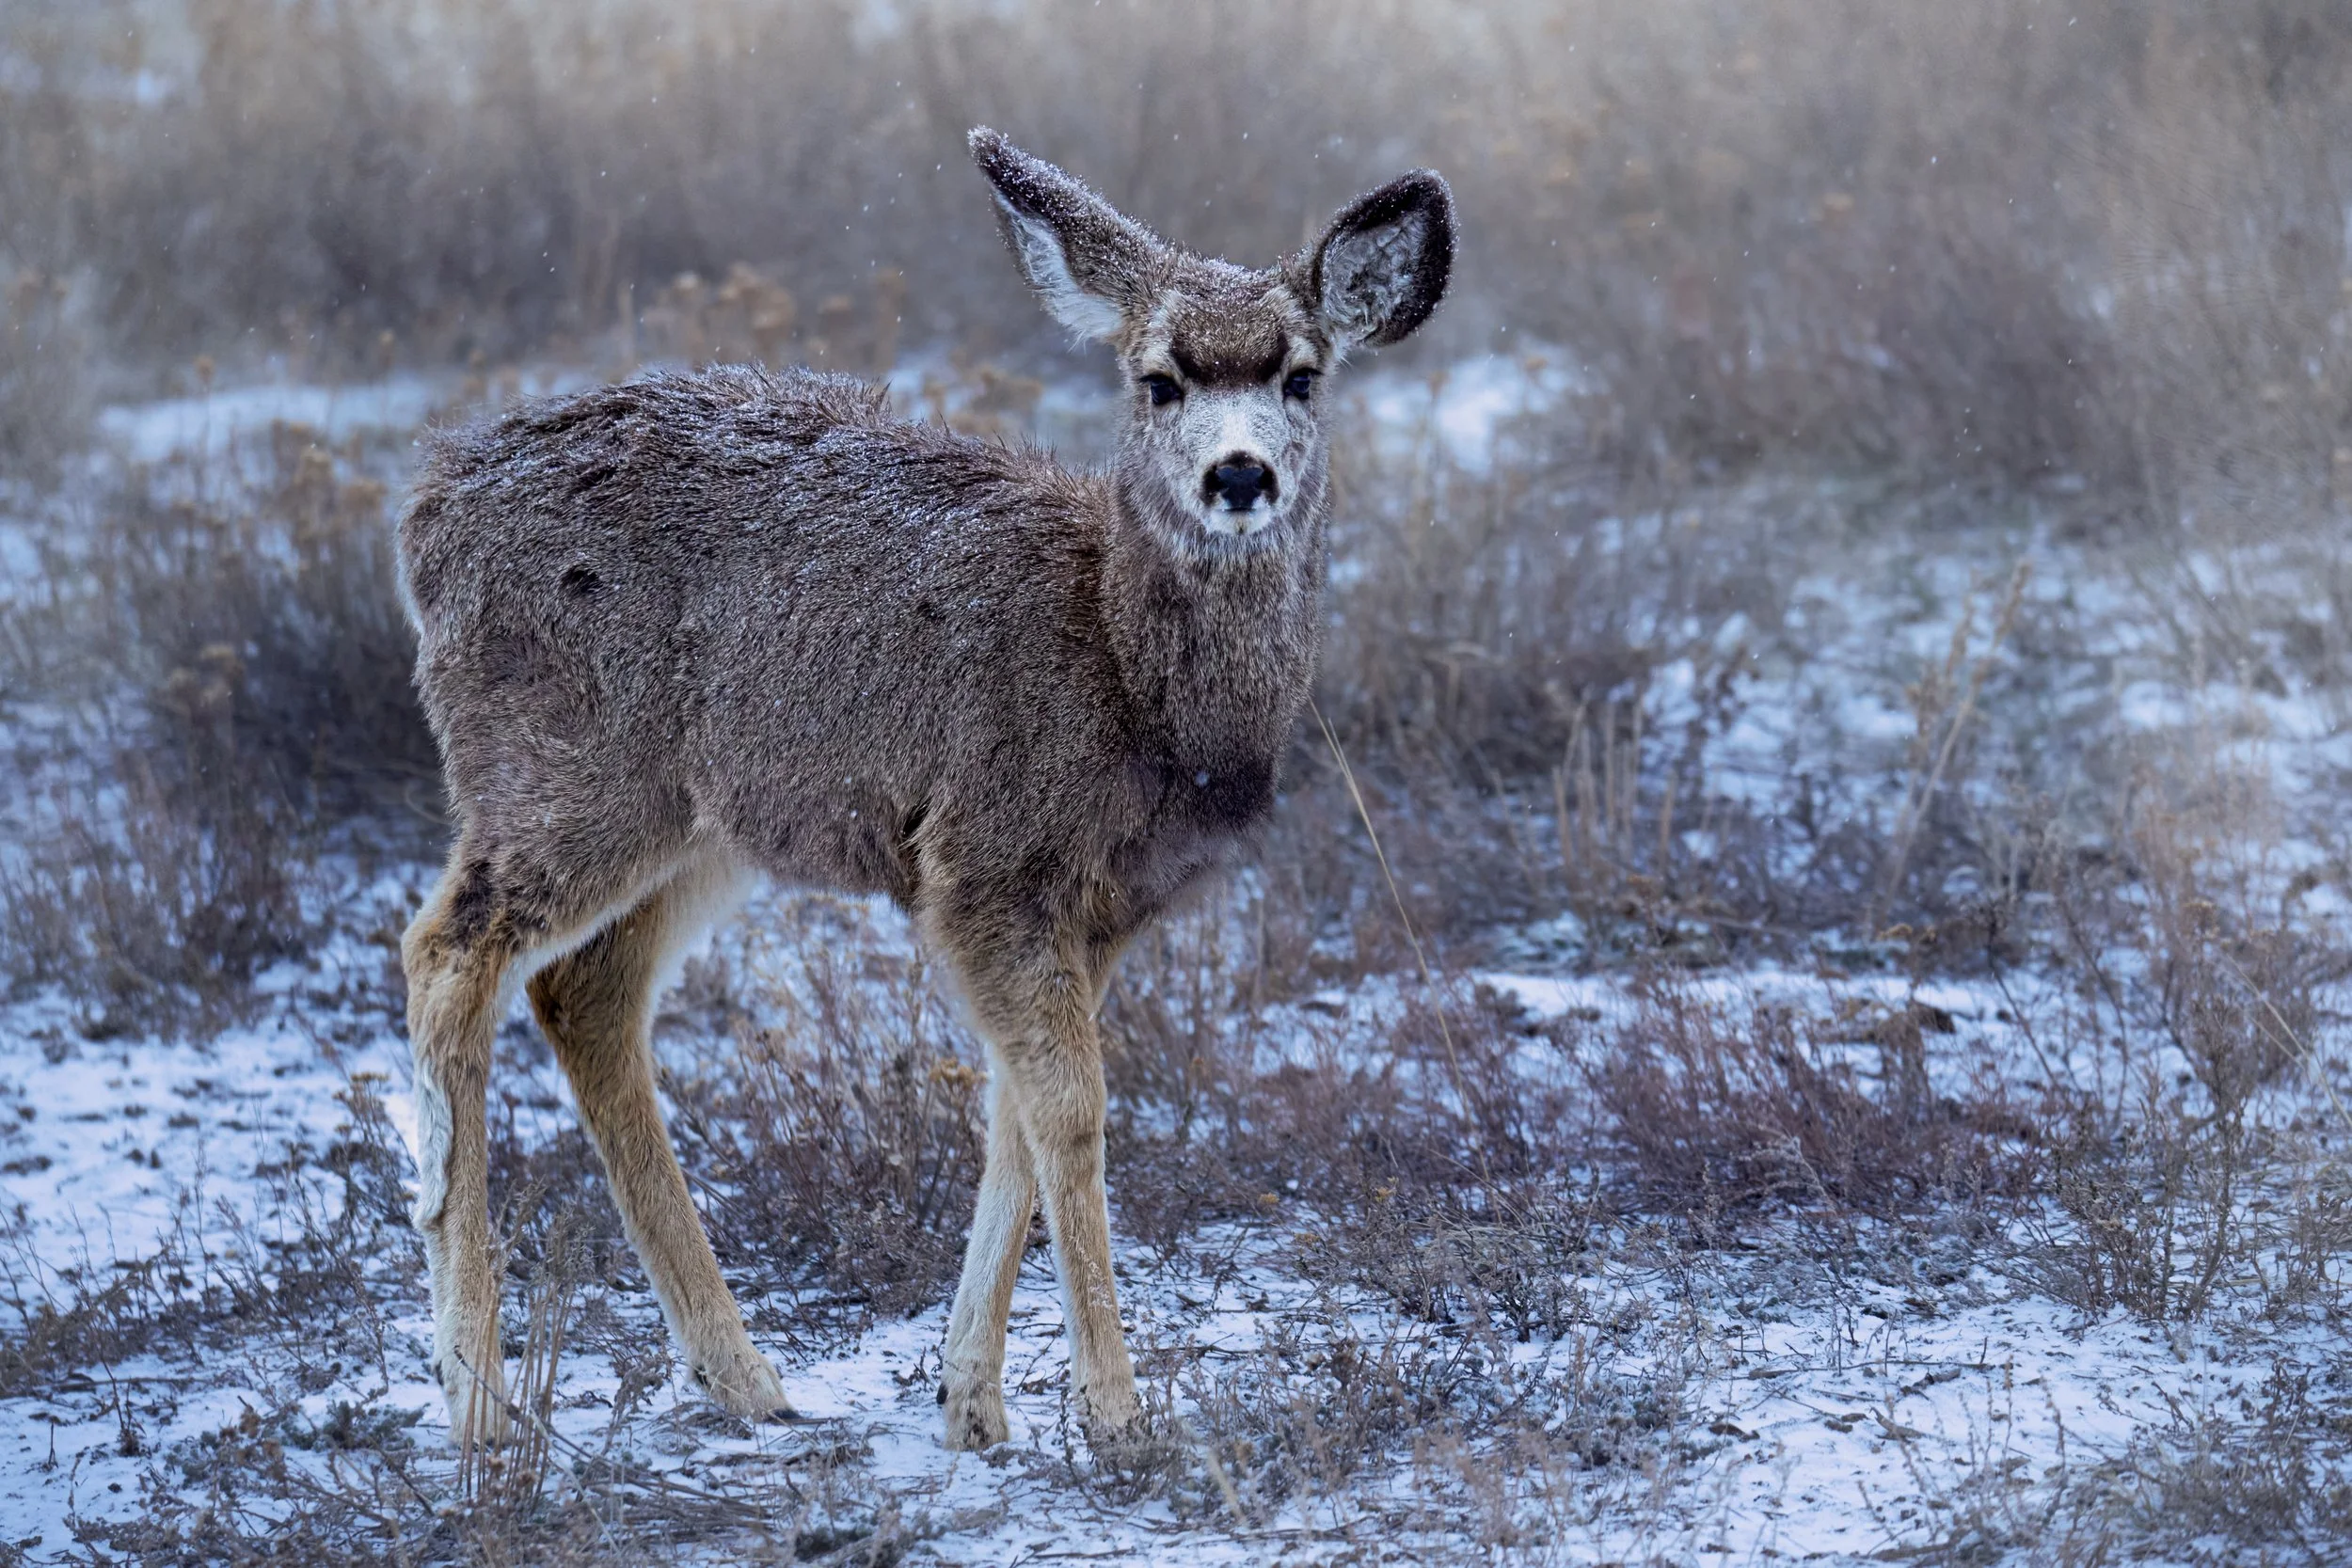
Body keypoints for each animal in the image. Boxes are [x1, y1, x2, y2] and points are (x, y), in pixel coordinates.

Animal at [395, 127, 1453, 1455]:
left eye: (1303, 375)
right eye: (1158, 379)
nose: (1240, 473)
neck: (1129, 679)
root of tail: (425, 514)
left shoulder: (1100, 907)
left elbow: (1014, 1116)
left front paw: (971, 1402)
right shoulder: (989, 857)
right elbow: (1071, 1110)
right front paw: (1115, 1410)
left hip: (708, 821)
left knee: (586, 989)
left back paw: (740, 1374)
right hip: (561, 771)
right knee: (445, 953)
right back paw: (480, 1398)